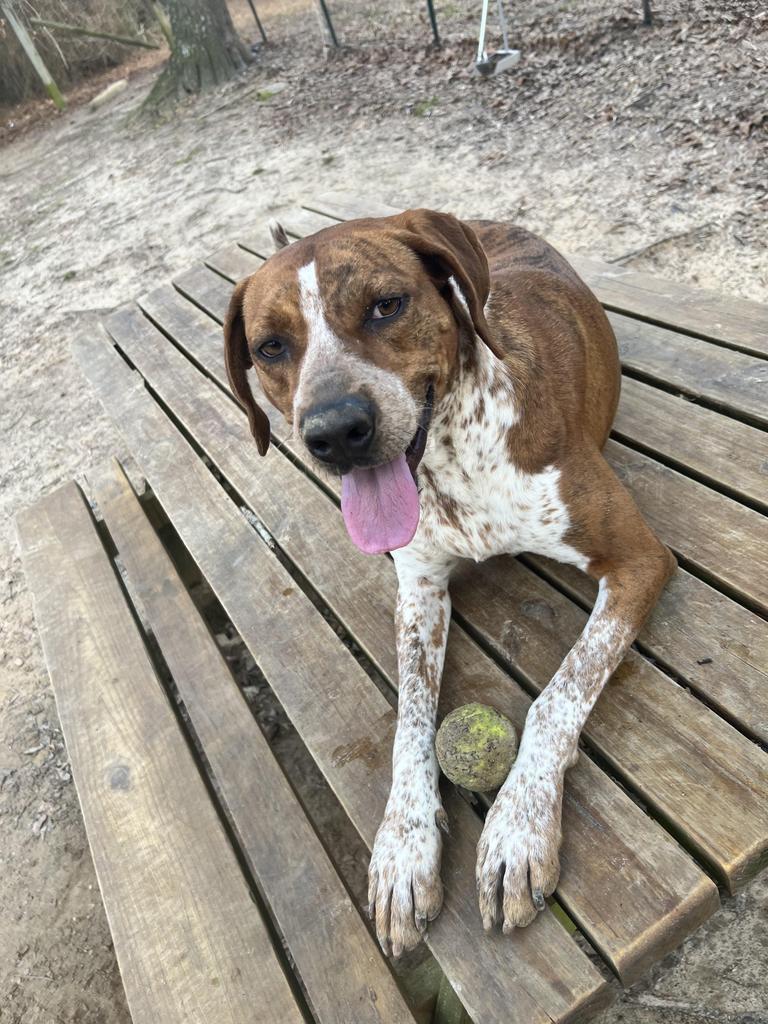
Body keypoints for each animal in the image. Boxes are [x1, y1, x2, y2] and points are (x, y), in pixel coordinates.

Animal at [225, 209, 675, 958]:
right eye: (269, 347)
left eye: (387, 305)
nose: (336, 432)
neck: (452, 462)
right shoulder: (419, 591)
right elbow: (410, 716)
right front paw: (402, 849)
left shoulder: (639, 559)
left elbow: (558, 695)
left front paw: (518, 827)